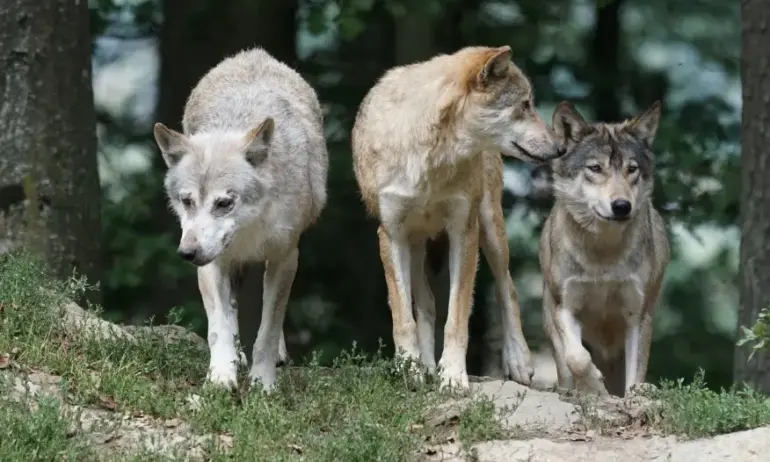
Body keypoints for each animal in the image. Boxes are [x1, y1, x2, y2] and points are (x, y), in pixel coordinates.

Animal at [152, 48, 328, 392]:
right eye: (187, 201)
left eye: (224, 203)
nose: (186, 253)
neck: (249, 230)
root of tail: (253, 53)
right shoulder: (212, 263)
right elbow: (218, 327)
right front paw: (221, 377)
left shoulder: (285, 257)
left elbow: (268, 330)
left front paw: (263, 383)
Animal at [352, 44, 560, 390]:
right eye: (525, 105)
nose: (560, 148)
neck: (430, 157)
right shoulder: (391, 234)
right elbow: (403, 316)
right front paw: (409, 369)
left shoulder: (464, 231)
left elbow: (458, 316)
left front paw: (452, 375)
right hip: (416, 244)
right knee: (425, 304)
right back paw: (424, 366)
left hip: (490, 229)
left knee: (507, 287)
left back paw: (518, 362)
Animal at [540, 101, 664, 398]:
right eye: (595, 168)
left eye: (632, 169)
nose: (621, 206)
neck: (603, 255)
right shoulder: (565, 307)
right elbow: (577, 357)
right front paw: (595, 386)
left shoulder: (637, 315)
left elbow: (636, 373)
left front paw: (634, 394)